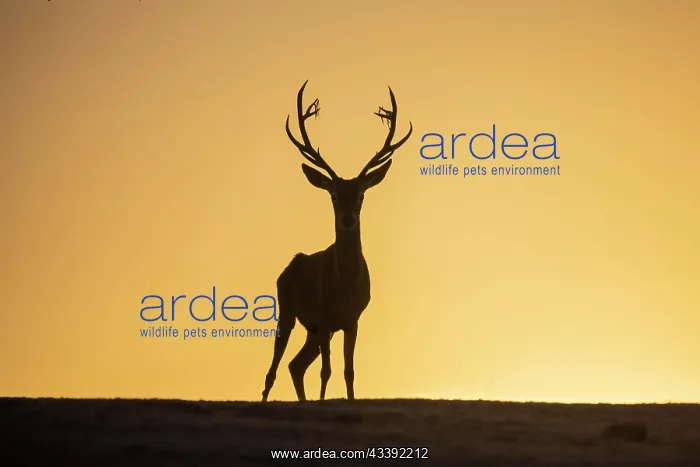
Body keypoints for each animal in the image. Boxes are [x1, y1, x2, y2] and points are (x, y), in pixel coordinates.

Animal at [260, 80, 412, 403]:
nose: (348, 219)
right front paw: (321, 401)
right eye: (332, 195)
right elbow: (326, 371)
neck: (344, 286)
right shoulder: (324, 315)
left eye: (361, 195)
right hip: (288, 311)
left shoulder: (352, 320)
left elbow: (348, 371)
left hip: (314, 330)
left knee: (295, 365)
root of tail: (292, 264)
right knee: (275, 368)